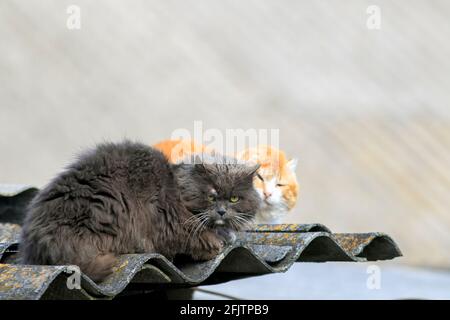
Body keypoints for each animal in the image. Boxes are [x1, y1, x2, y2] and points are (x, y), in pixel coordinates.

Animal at [20, 141, 260, 282]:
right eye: (211, 196)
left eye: (234, 198)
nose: (221, 212)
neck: (176, 187)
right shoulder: (173, 224)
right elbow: (201, 240)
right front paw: (219, 240)